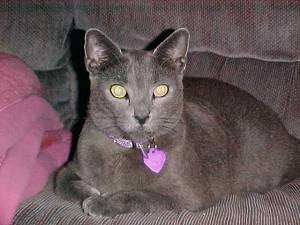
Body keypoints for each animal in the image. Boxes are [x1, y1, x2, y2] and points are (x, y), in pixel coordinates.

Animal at [55, 27, 298, 216]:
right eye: (118, 90)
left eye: (161, 90)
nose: (142, 116)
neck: (127, 149)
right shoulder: (73, 163)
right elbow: (61, 181)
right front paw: (91, 191)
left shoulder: (188, 196)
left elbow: (143, 196)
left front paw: (100, 202)